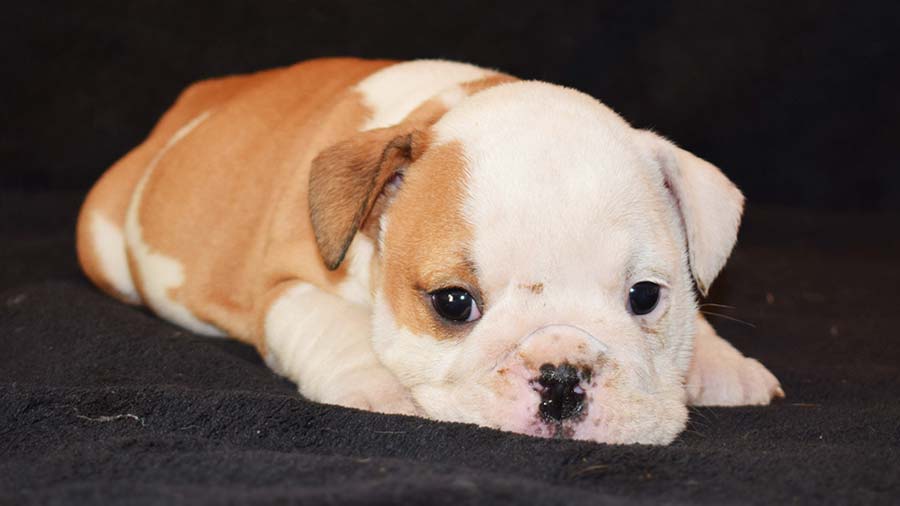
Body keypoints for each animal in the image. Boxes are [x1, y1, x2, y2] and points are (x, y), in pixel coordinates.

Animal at [75, 58, 780, 442]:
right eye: (452, 303)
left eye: (645, 297)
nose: (561, 377)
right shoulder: (285, 283)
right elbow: (331, 325)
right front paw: (378, 388)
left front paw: (721, 363)